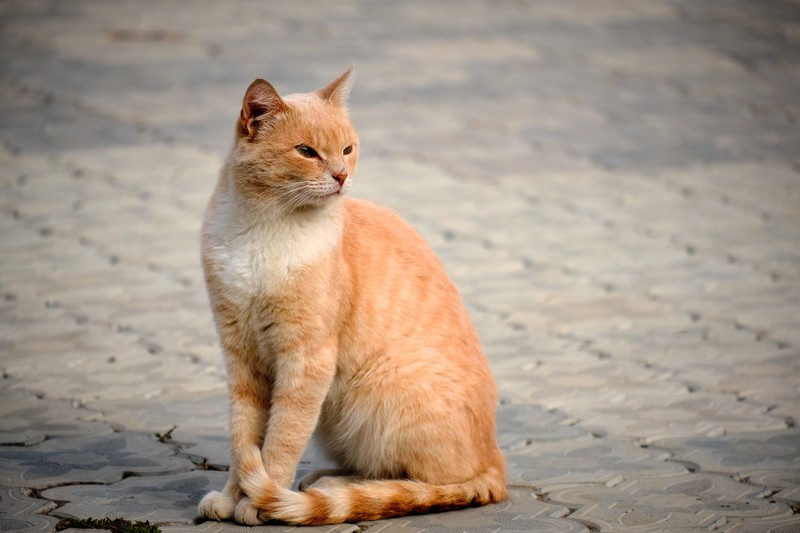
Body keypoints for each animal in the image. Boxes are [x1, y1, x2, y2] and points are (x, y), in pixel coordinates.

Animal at [196, 66, 504, 524]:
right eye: (306, 151)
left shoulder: (307, 361)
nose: (341, 175)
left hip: (383, 391)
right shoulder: (240, 356)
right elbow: (243, 436)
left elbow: (281, 439)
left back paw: (329, 488)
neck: (265, 229)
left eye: (347, 149)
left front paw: (258, 501)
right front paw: (233, 496)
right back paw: (323, 478)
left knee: (415, 483)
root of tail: (494, 459)